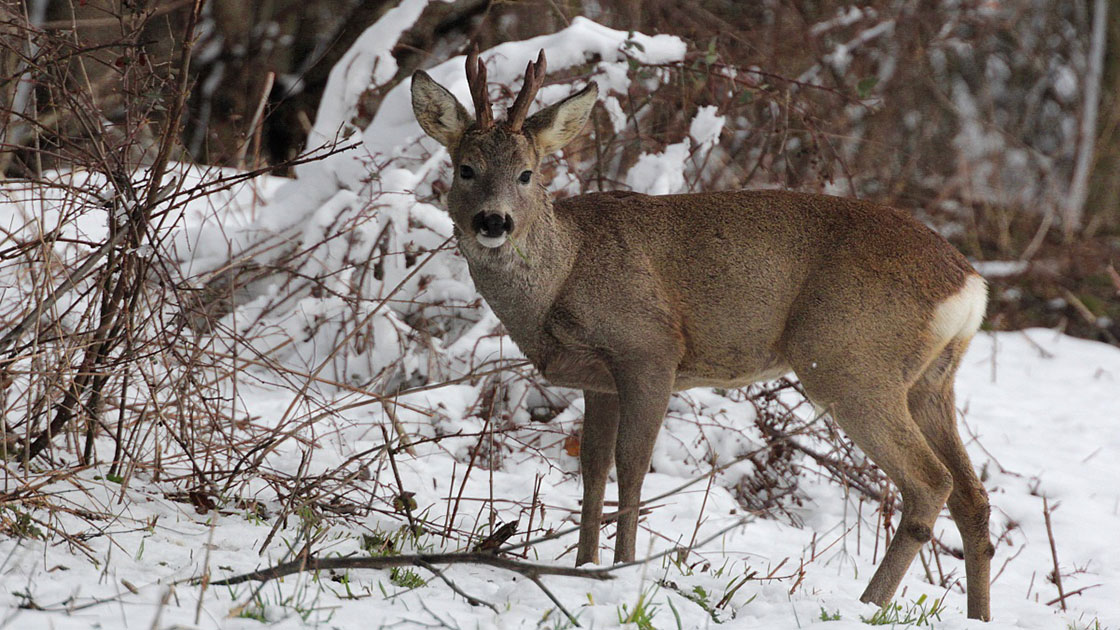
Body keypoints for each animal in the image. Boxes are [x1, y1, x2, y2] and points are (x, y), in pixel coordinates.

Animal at [416, 49, 994, 618]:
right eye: (465, 169)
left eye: (527, 174)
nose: (494, 221)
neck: (565, 271)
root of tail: (970, 286)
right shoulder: (598, 378)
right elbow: (593, 467)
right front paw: (583, 565)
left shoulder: (650, 349)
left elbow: (632, 465)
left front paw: (621, 569)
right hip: (929, 381)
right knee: (972, 494)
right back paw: (975, 614)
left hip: (849, 362)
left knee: (930, 482)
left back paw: (868, 604)